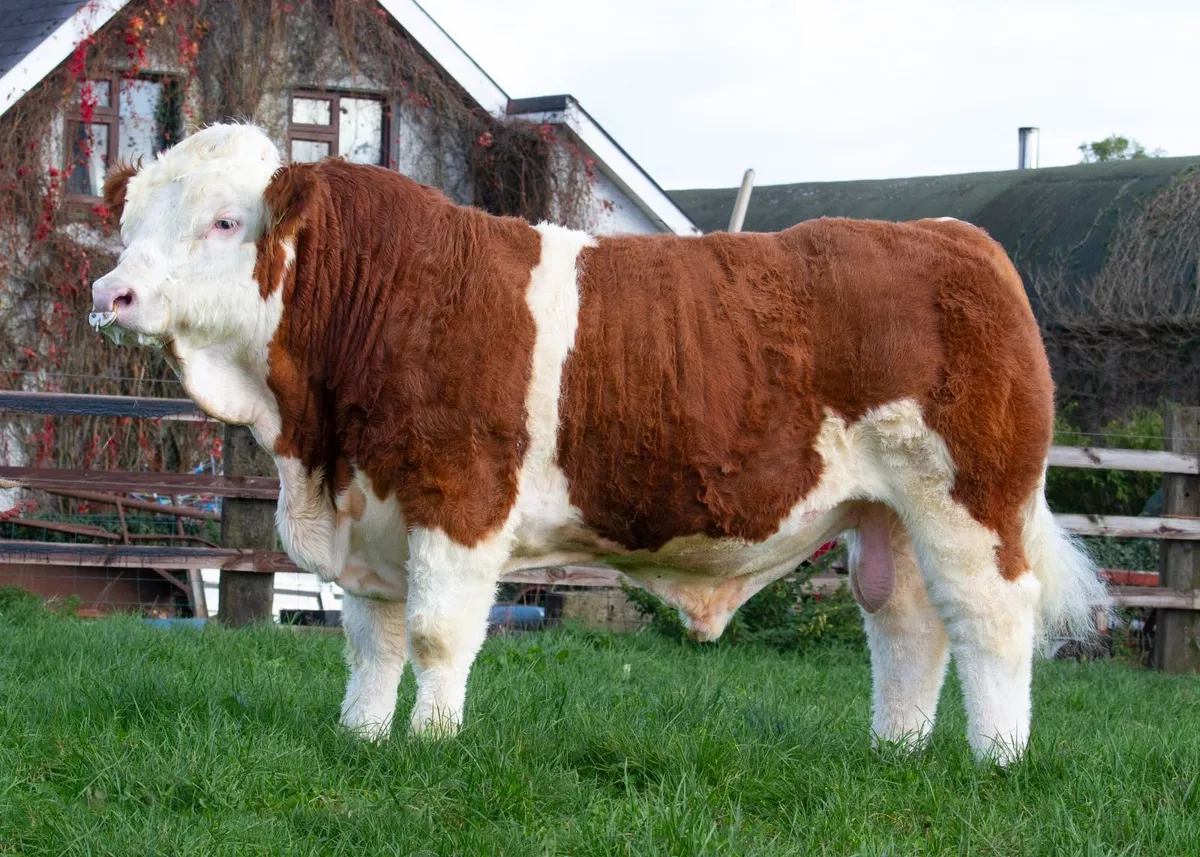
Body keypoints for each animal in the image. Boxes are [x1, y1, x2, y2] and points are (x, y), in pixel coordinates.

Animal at [90, 123, 1106, 765]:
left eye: (225, 221)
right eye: (129, 223)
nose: (112, 293)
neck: (319, 441)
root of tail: (954, 237)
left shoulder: (459, 494)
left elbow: (436, 631)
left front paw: (428, 746)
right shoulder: (372, 511)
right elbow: (371, 641)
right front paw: (361, 739)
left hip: (971, 498)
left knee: (990, 619)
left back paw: (998, 759)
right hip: (885, 512)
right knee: (906, 626)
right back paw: (895, 752)